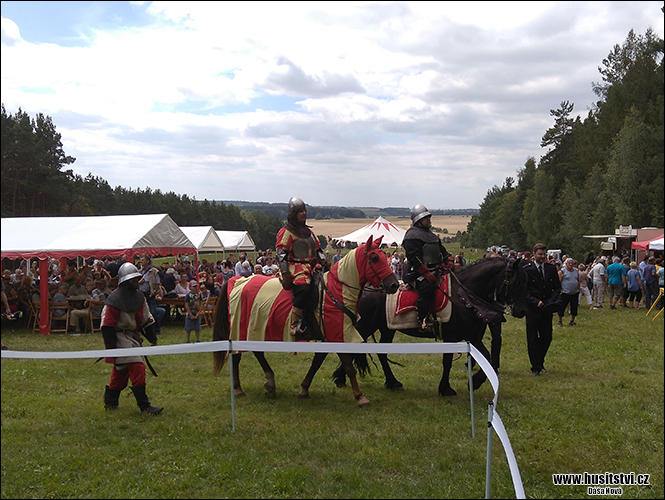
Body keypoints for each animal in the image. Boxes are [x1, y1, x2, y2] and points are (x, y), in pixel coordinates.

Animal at [214, 237, 400, 406]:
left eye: (382, 256)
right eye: (374, 258)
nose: (394, 285)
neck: (337, 291)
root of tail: (237, 281)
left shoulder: (328, 336)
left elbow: (317, 361)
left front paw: (304, 389)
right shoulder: (337, 334)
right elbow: (349, 367)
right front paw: (360, 397)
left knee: (256, 352)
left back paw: (269, 382)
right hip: (241, 328)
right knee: (237, 356)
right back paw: (239, 389)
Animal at [344, 256, 528, 396]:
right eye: (516, 283)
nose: (521, 310)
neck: (463, 295)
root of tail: (366, 290)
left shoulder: (472, 337)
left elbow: (487, 357)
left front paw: (475, 382)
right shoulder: (451, 337)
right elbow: (447, 362)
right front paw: (446, 388)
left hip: (387, 329)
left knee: (381, 353)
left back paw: (392, 382)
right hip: (367, 325)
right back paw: (342, 377)